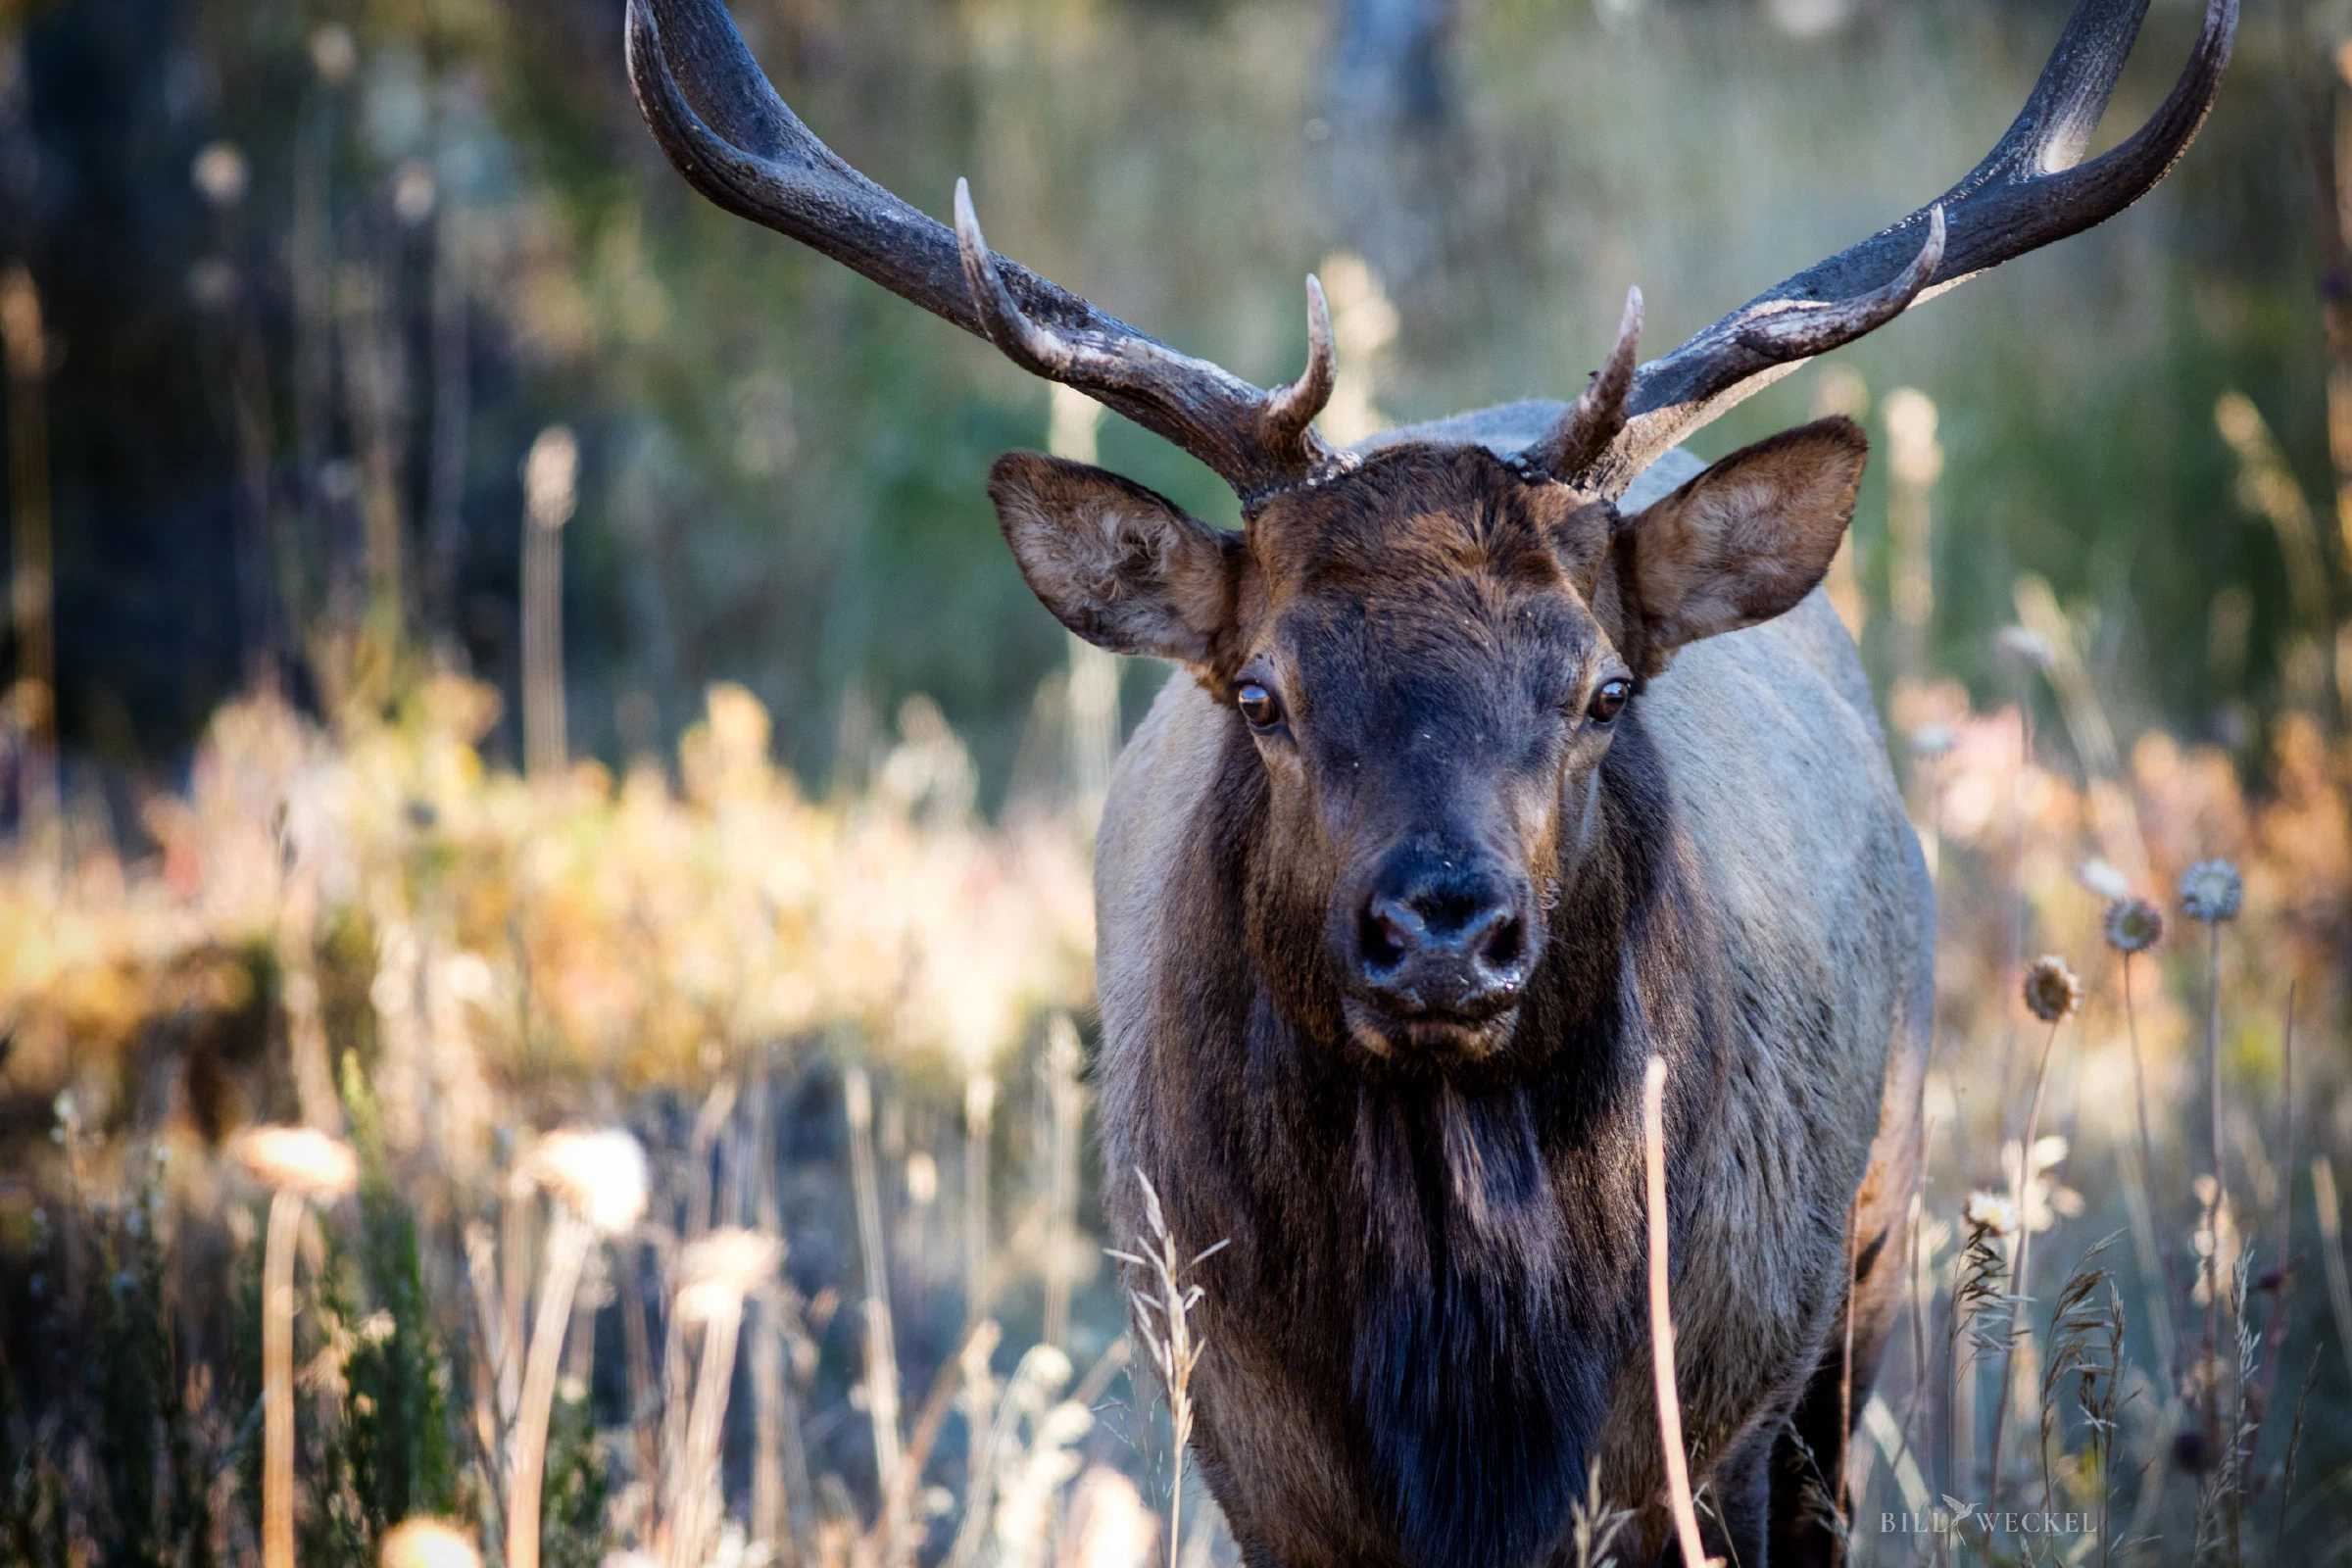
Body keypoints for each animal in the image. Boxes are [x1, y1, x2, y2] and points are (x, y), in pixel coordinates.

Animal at [625, 0, 2234, 1560]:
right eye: (1262, 694)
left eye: (1603, 691)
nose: (1445, 932)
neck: (1476, 1392)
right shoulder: (1253, 1457)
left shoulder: (1706, 1422)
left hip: (1869, 1247)